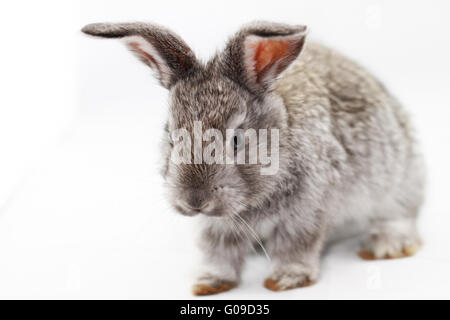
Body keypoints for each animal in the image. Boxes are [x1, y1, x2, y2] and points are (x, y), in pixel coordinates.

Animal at [82, 20, 424, 296]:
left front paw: (286, 280)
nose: (194, 201)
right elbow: (218, 254)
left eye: (236, 140)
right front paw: (209, 283)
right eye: (170, 136)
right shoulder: (217, 228)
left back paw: (384, 247)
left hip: (397, 181)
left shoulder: (306, 212)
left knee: (401, 213)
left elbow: (295, 246)